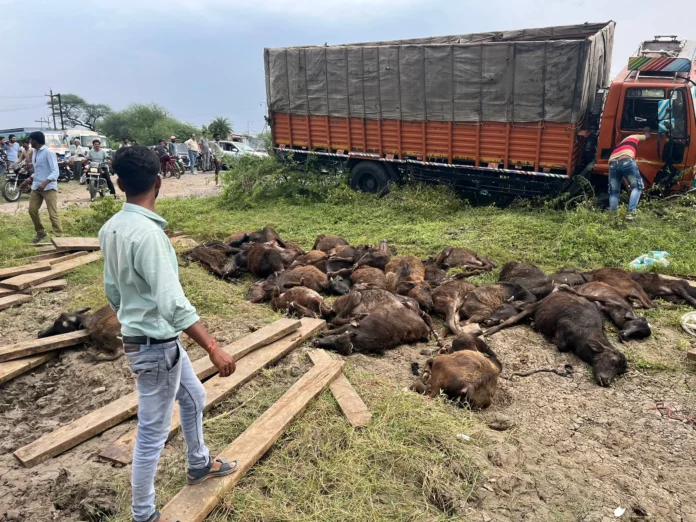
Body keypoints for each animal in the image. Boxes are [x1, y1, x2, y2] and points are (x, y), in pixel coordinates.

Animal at [486, 288, 628, 386]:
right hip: (534, 307)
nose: (606, 381)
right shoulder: (561, 323)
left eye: (620, 371)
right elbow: (562, 345)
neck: (587, 331)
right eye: (613, 361)